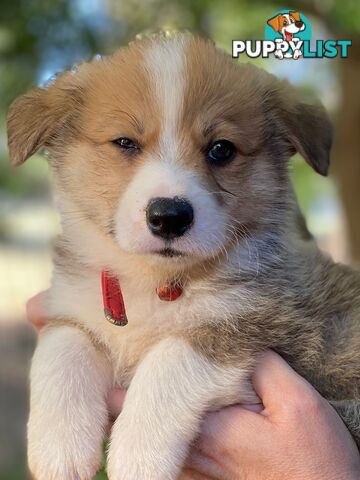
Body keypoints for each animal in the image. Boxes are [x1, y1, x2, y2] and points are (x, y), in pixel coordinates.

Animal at [6, 31, 360, 478]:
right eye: (125, 142)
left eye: (221, 149)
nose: (169, 217)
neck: (155, 283)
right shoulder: (75, 302)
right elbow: (61, 347)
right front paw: (59, 446)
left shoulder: (260, 323)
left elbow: (171, 358)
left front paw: (137, 456)